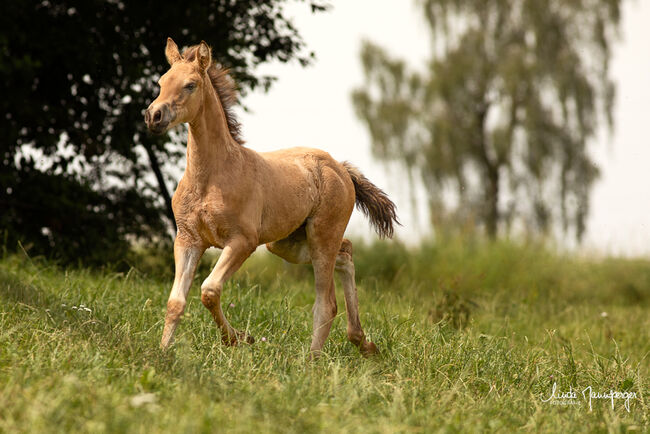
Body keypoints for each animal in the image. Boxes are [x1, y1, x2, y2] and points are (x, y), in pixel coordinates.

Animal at [144, 38, 398, 356]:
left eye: (190, 85)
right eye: (161, 81)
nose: (154, 116)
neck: (211, 176)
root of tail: (341, 168)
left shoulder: (243, 242)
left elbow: (210, 291)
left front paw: (238, 339)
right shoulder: (188, 240)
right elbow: (176, 301)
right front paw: (163, 353)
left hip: (321, 236)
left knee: (326, 303)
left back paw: (312, 360)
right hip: (287, 244)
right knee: (346, 252)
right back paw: (363, 342)